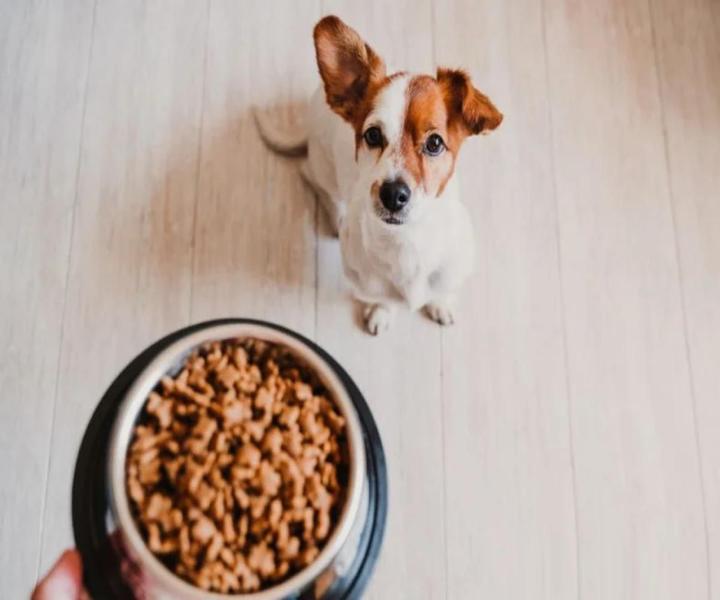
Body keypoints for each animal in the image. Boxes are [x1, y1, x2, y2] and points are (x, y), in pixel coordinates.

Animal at [256, 15, 504, 332]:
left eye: (435, 143)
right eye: (372, 135)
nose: (393, 194)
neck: (407, 242)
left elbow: (441, 292)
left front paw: (440, 304)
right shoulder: (366, 285)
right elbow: (382, 300)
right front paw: (382, 312)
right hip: (323, 170)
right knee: (313, 179)